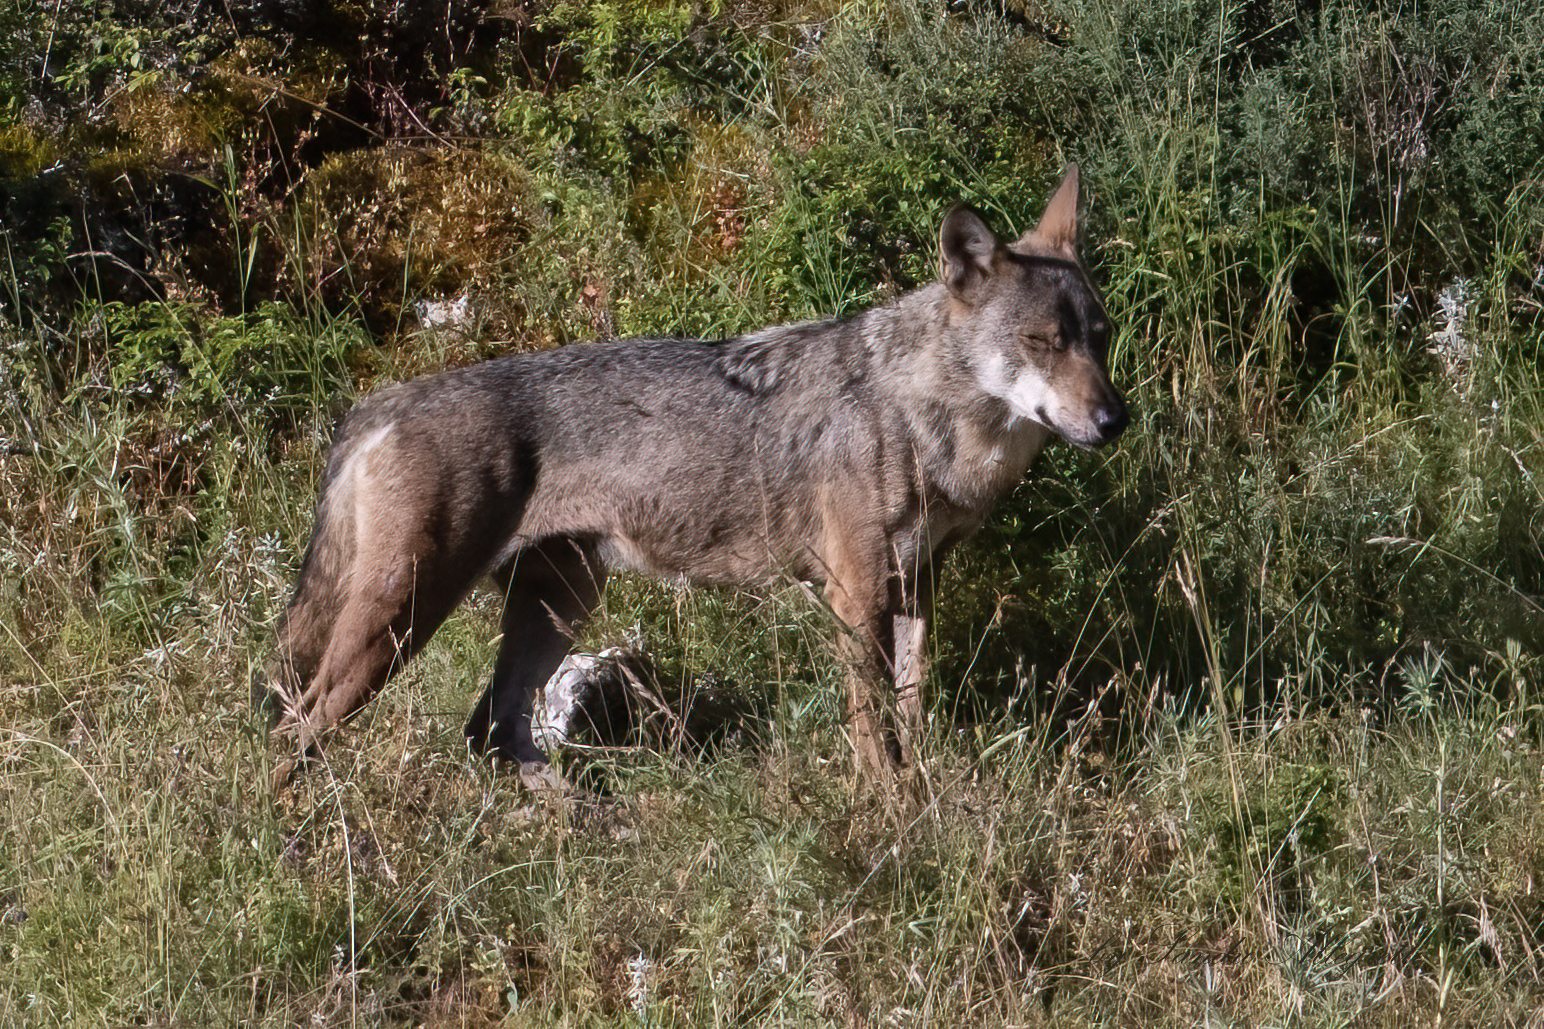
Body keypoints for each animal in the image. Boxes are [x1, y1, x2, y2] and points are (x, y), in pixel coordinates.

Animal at [268, 165, 1127, 793]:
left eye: (1102, 336)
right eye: (1043, 341)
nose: (1115, 418)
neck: (924, 416)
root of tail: (377, 402)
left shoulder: (917, 583)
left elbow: (912, 710)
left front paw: (931, 791)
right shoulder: (855, 593)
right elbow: (871, 723)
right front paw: (888, 805)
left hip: (558, 604)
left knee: (491, 728)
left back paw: (586, 823)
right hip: (401, 622)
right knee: (293, 731)